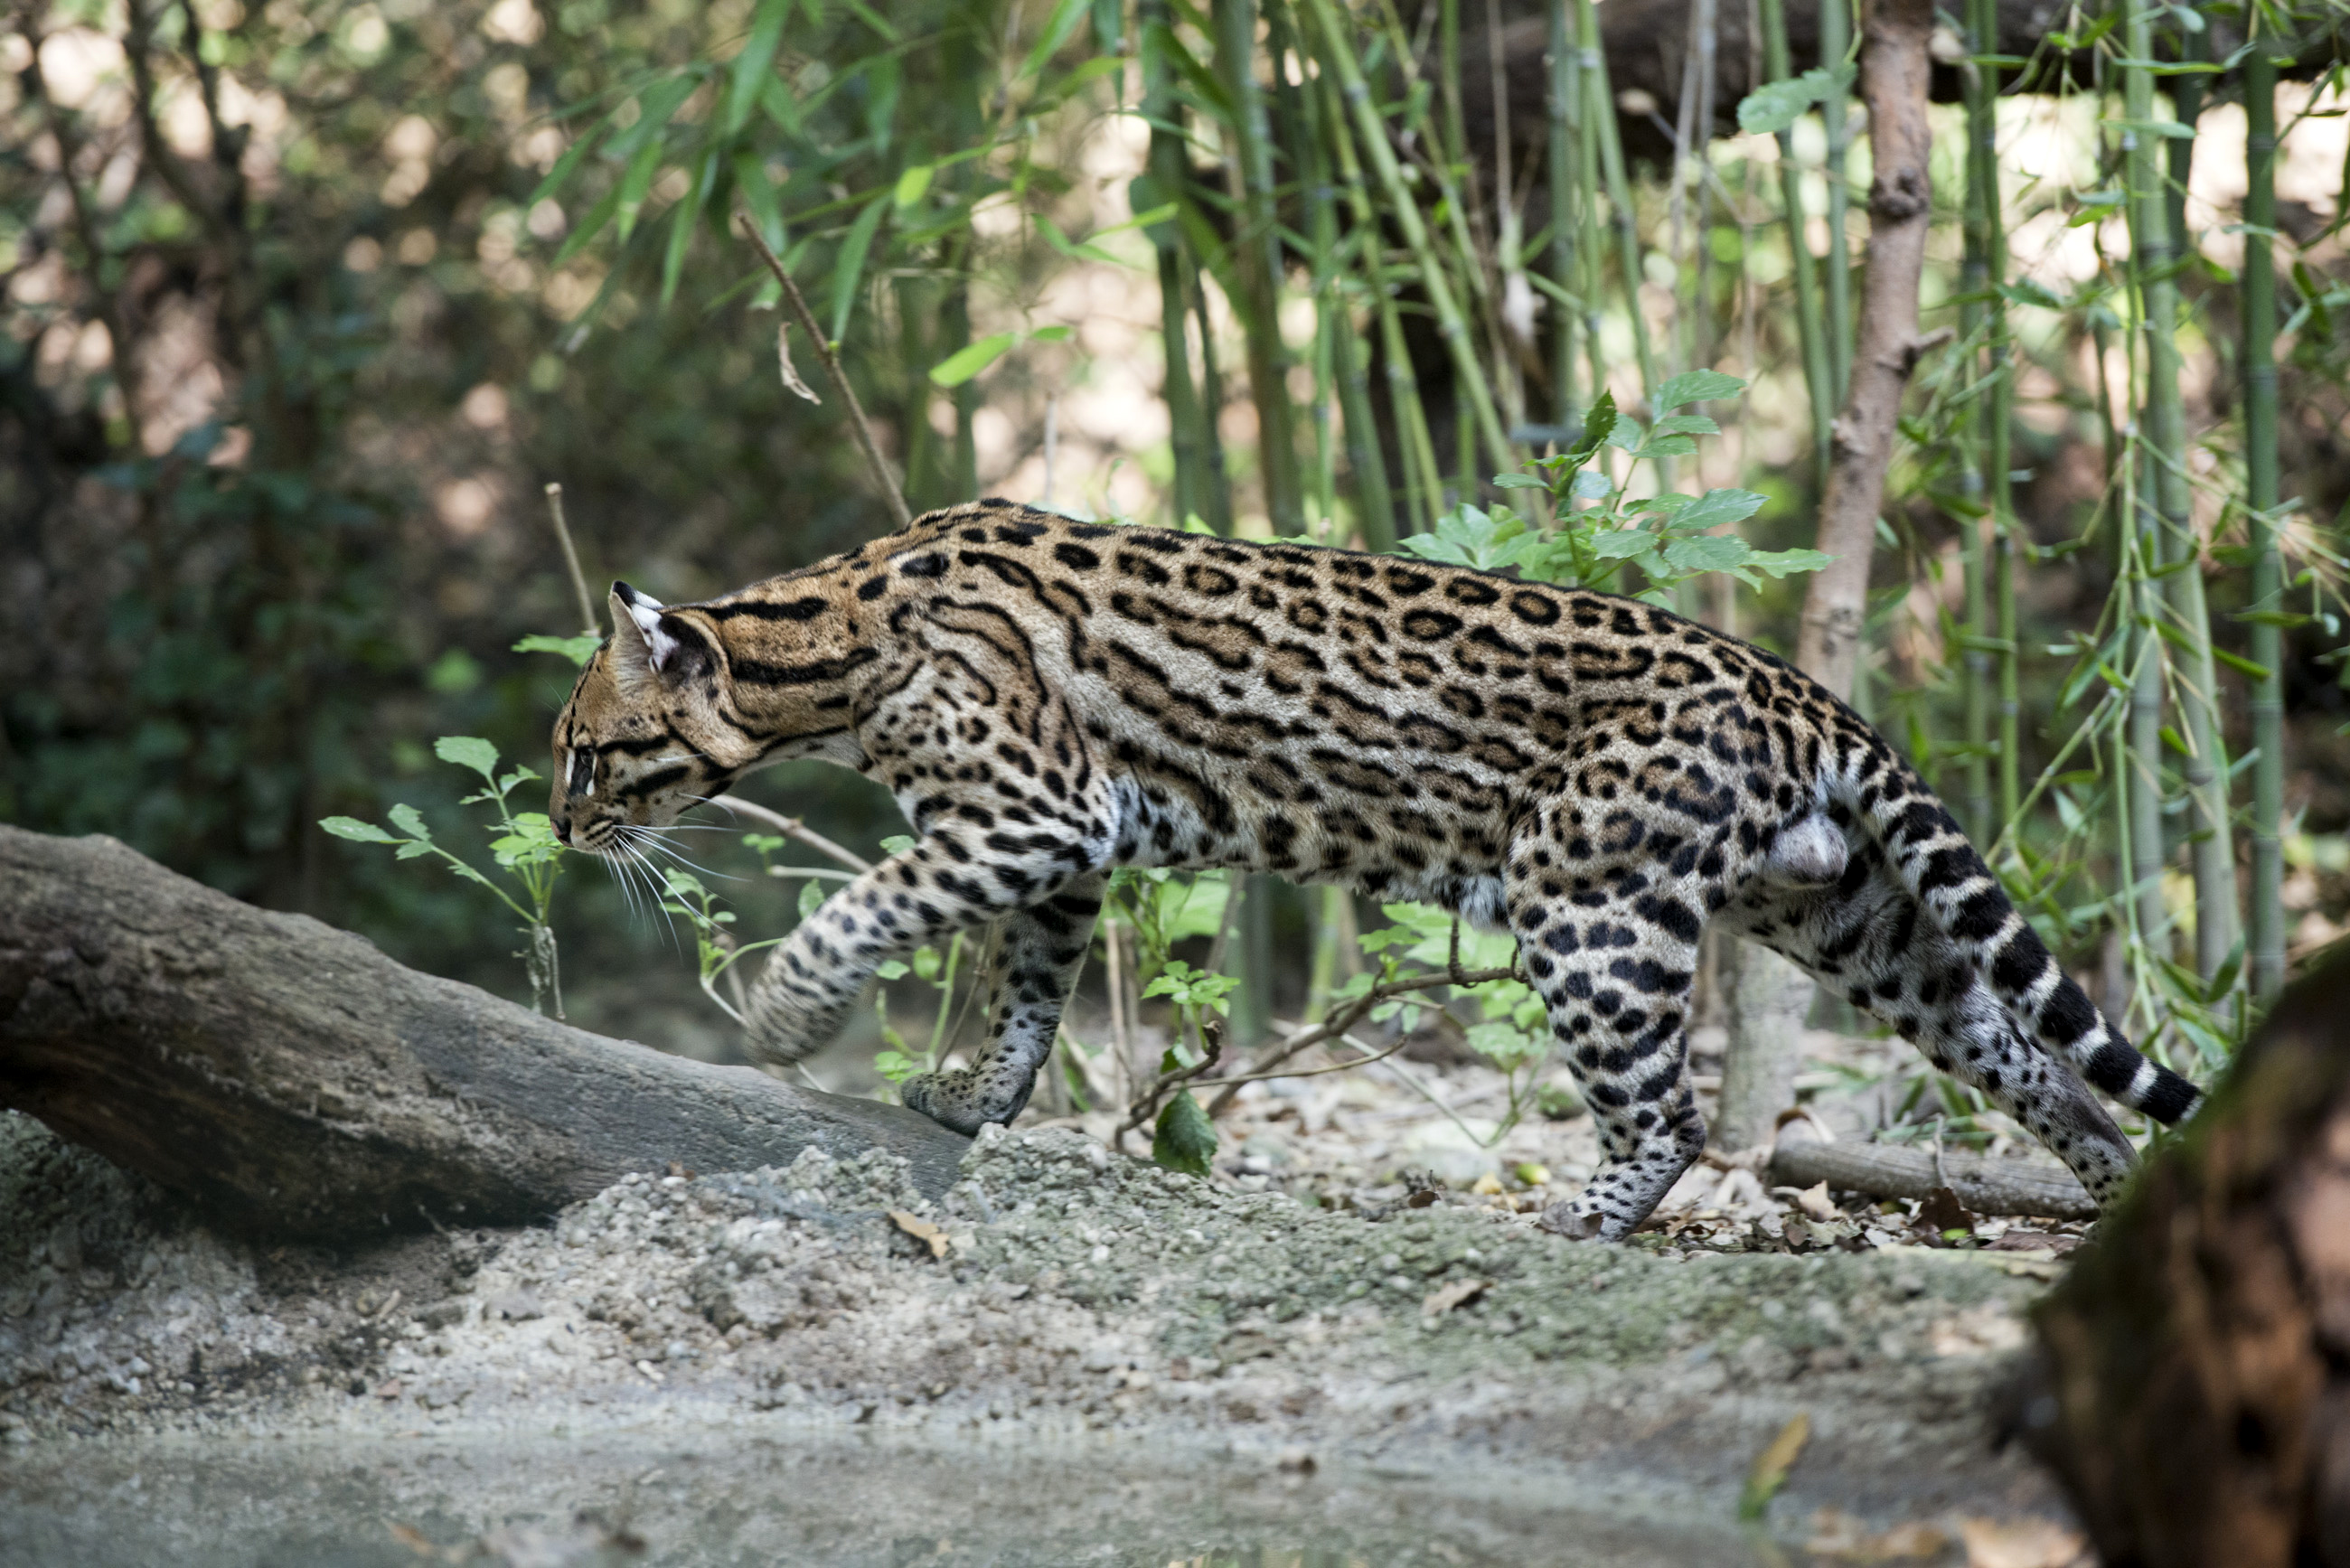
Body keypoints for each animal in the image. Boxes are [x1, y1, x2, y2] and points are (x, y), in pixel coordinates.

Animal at [550, 501, 2199, 1241]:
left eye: (580, 754)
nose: (564, 832)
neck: (820, 644)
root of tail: (1802, 687)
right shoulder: (1062, 849)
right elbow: (1030, 988)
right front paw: (978, 1100)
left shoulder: (1036, 813)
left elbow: (867, 901)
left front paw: (785, 1013)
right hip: (1856, 920)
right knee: (2036, 1061)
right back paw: (2123, 1202)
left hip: (1586, 908)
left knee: (1668, 1107)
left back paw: (1579, 1221)